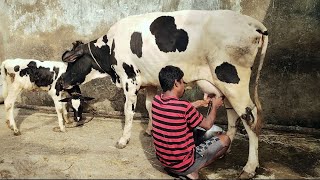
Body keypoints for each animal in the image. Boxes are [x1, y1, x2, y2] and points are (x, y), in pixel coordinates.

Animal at [59, 10, 268, 179]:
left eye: (72, 62)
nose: (61, 82)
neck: (110, 49)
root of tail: (252, 23)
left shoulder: (130, 79)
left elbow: (128, 111)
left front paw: (123, 140)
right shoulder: (150, 80)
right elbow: (150, 105)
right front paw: (150, 130)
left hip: (232, 79)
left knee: (249, 117)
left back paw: (250, 167)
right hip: (224, 84)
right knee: (233, 114)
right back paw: (228, 149)